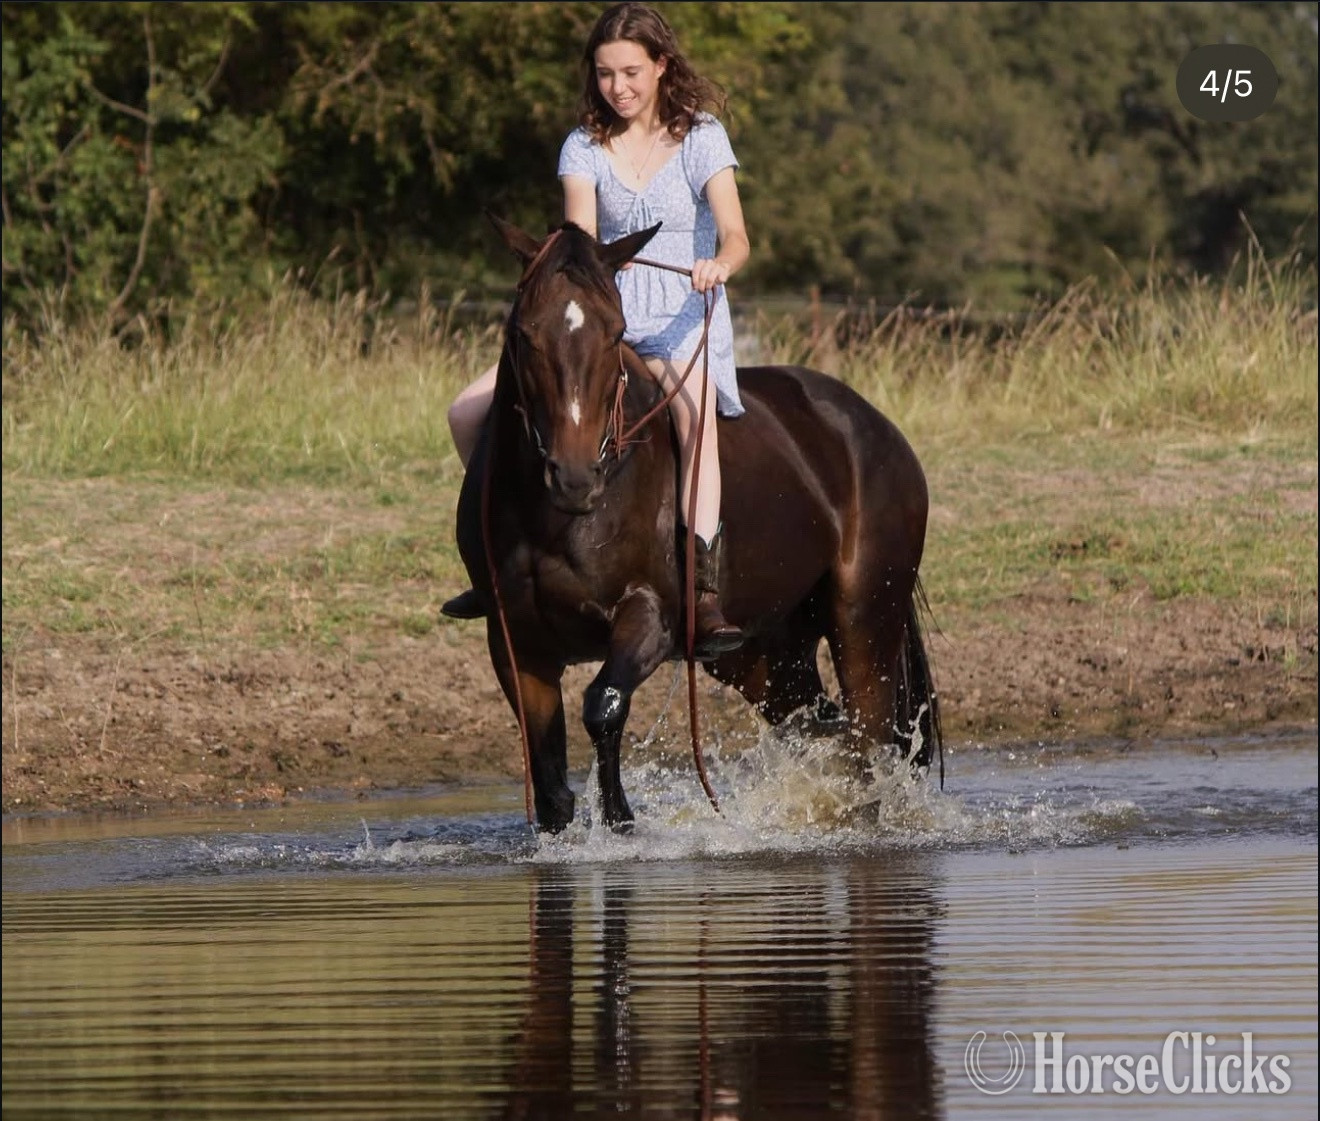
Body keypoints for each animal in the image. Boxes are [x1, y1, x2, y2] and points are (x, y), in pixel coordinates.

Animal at [454, 216, 941, 833]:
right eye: (524, 332)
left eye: (616, 332)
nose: (575, 477)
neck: (560, 521)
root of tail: (875, 427)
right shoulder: (515, 641)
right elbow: (550, 785)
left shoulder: (650, 619)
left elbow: (603, 705)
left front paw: (621, 822)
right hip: (763, 653)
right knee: (821, 726)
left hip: (863, 620)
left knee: (867, 736)